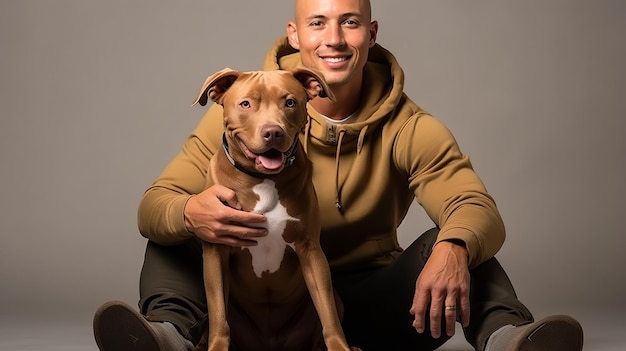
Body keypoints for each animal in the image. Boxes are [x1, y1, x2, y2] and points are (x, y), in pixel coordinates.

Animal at [191, 69, 356, 351]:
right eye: (246, 104)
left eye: (289, 102)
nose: (273, 133)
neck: (262, 179)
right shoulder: (216, 251)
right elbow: (219, 319)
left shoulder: (310, 250)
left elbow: (328, 316)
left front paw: (340, 347)